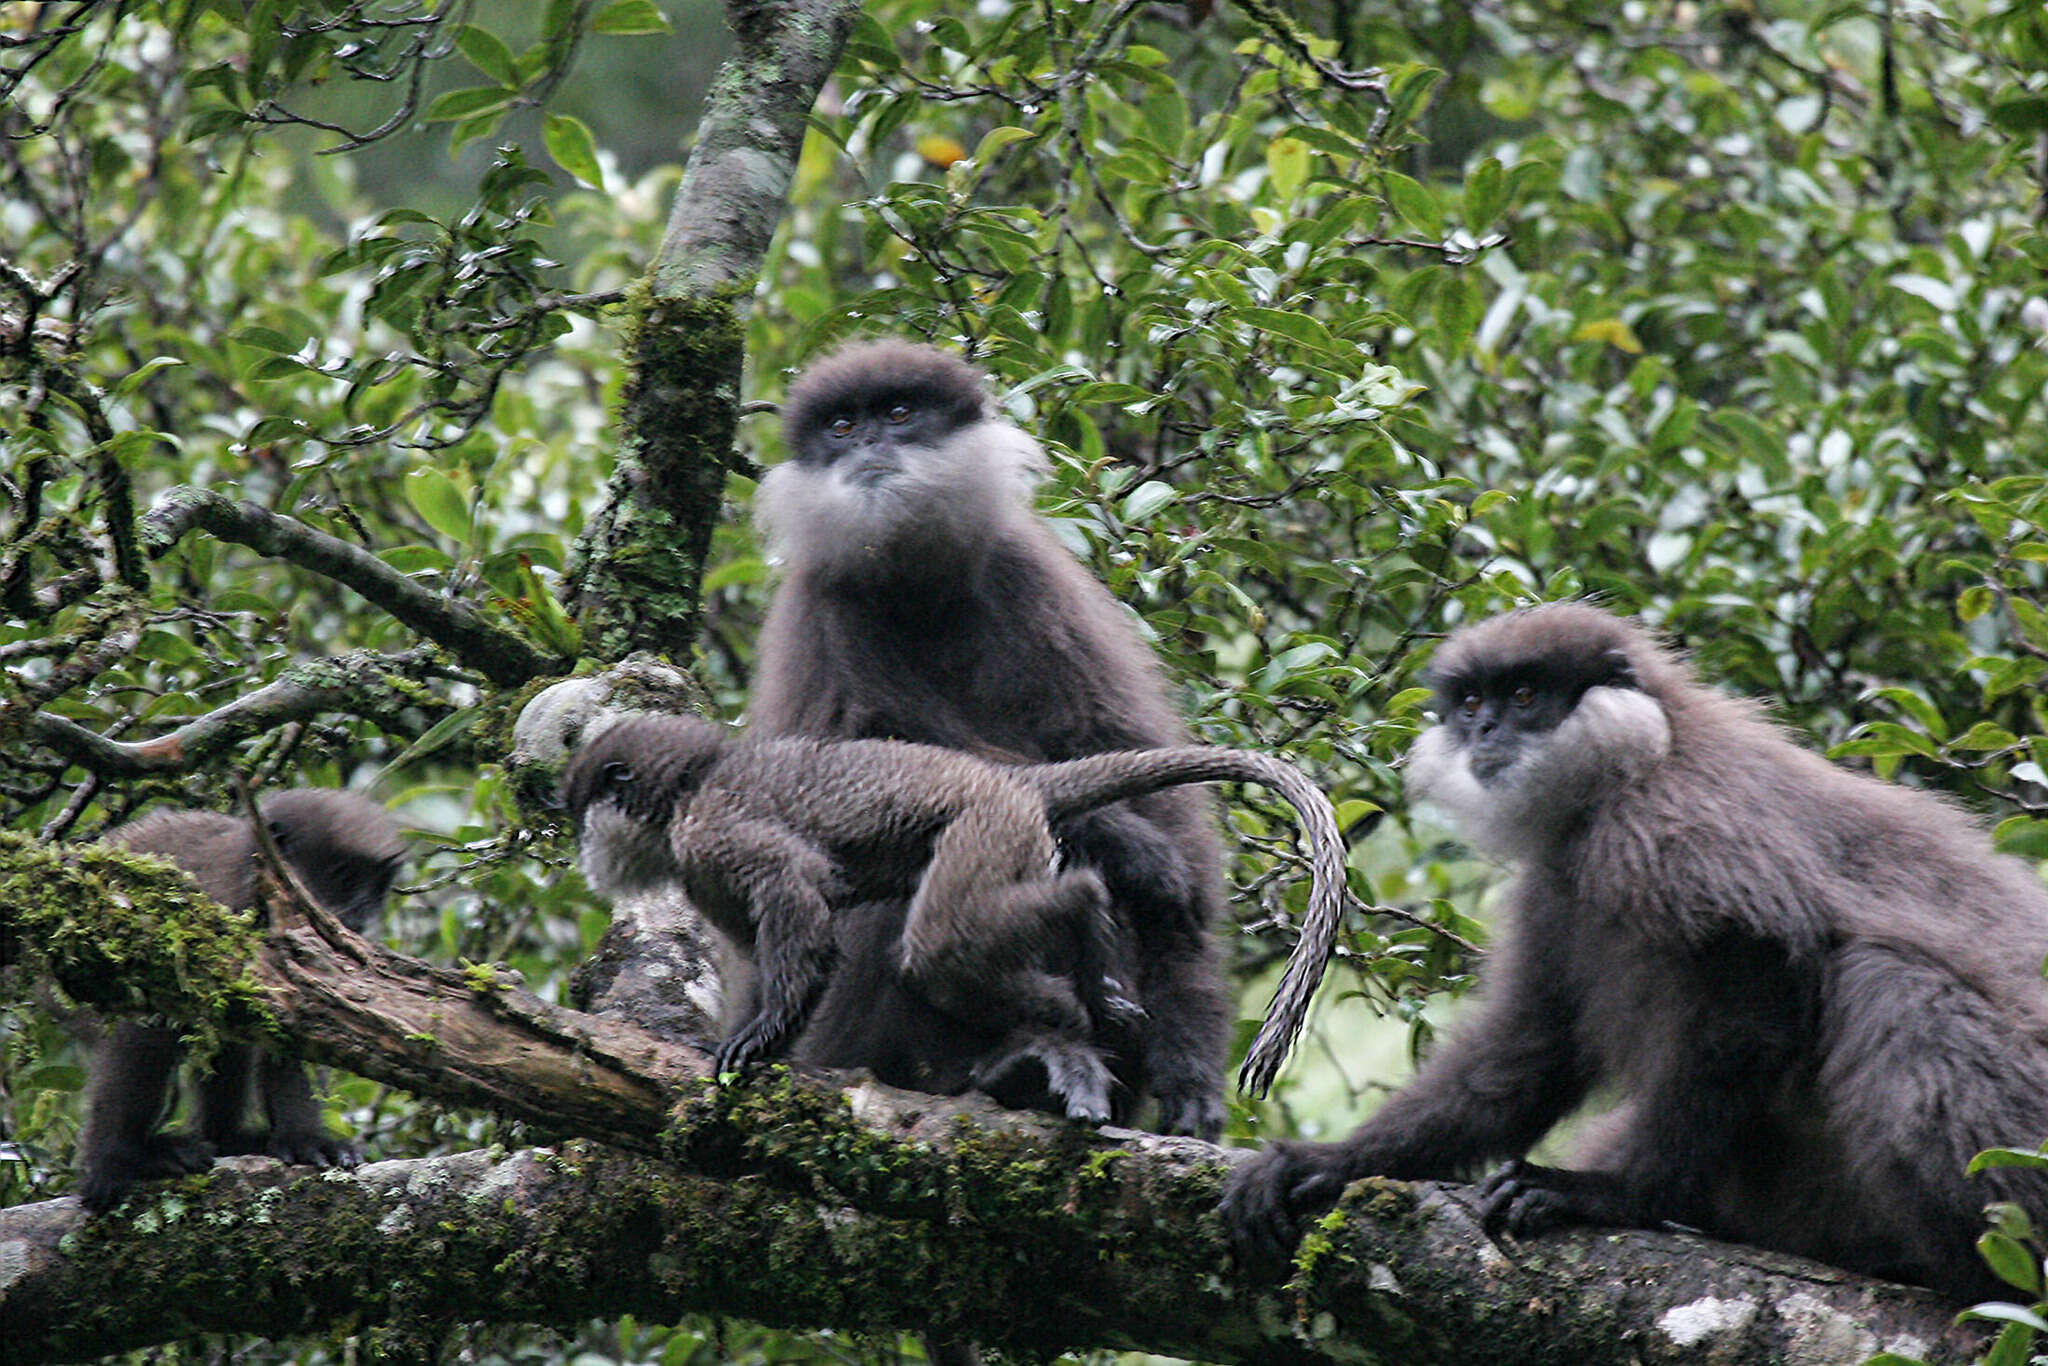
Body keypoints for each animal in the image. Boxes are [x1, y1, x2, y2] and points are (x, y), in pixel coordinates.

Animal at [76, 790, 403, 1220]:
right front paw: (112, 1158)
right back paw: (123, 1156)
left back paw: (227, 1138)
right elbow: (146, 1027)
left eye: (376, 889)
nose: (362, 914)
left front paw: (305, 1138)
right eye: (345, 876)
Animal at [561, 712, 1343, 1130]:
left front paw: (762, 1039)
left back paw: (1080, 937)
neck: (687, 789)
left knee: (939, 946)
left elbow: (799, 897)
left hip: (990, 825)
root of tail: (1009, 780)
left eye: (582, 812)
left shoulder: (712, 836)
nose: (578, 849)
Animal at [753, 342, 1228, 1146]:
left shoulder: (1029, 578)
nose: (868, 446)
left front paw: (1191, 1063)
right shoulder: (825, 609)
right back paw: (1005, 1063)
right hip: (839, 1037)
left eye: (900, 413)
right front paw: (1115, 833)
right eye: (841, 427)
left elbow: (1156, 801)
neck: (919, 592)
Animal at [1220, 606, 2039, 1302]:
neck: (1626, 773)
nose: (1484, 734)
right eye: (1471, 705)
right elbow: (1526, 1050)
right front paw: (1331, 1163)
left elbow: (1758, 989)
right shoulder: (1557, 883)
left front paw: (1618, 1195)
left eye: (1524, 694)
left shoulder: (1678, 823)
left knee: (1889, 978)